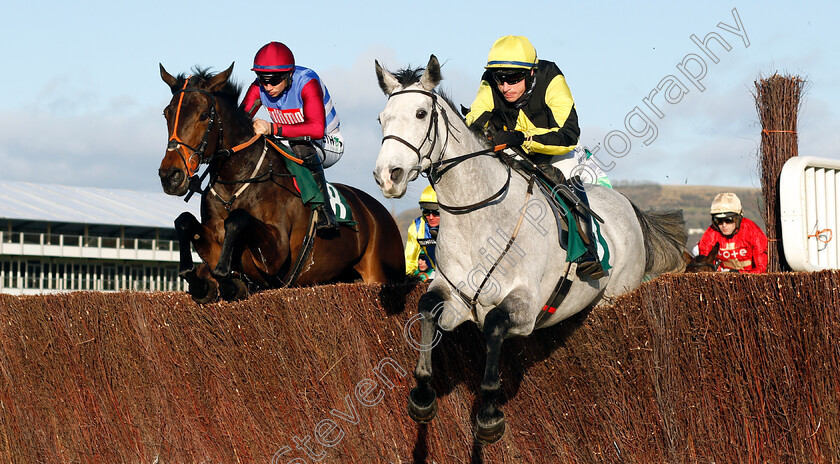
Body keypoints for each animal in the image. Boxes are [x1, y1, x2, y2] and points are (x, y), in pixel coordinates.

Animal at [158, 63, 406, 302]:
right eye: (166, 114)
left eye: (203, 116)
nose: (171, 176)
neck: (234, 186)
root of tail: (380, 212)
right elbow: (184, 222)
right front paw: (199, 281)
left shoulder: (276, 255)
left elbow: (237, 220)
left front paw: (226, 280)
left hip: (382, 274)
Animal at [374, 55, 688, 446]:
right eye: (382, 118)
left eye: (420, 113)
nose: (388, 176)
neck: (477, 217)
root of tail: (629, 206)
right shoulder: (455, 297)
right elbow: (427, 308)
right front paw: (422, 395)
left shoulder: (525, 307)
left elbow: (495, 324)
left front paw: (489, 415)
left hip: (616, 295)